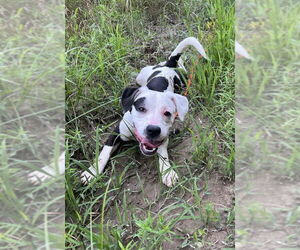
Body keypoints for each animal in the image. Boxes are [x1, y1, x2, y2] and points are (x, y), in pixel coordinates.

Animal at [80, 36, 209, 186]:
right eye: (141, 109)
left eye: (167, 113)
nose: (153, 130)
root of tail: (167, 66)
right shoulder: (116, 132)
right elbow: (104, 153)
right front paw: (92, 172)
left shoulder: (163, 137)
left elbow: (163, 153)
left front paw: (167, 171)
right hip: (141, 75)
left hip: (182, 82)